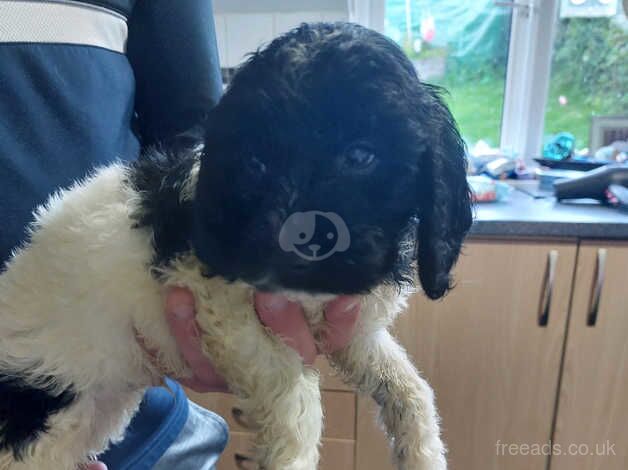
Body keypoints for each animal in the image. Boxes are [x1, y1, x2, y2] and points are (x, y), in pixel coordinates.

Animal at [0, 22, 472, 470]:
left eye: (360, 156)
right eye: (254, 164)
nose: (289, 243)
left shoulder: (352, 331)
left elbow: (410, 388)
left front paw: (424, 454)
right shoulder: (219, 305)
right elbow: (294, 391)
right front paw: (289, 459)